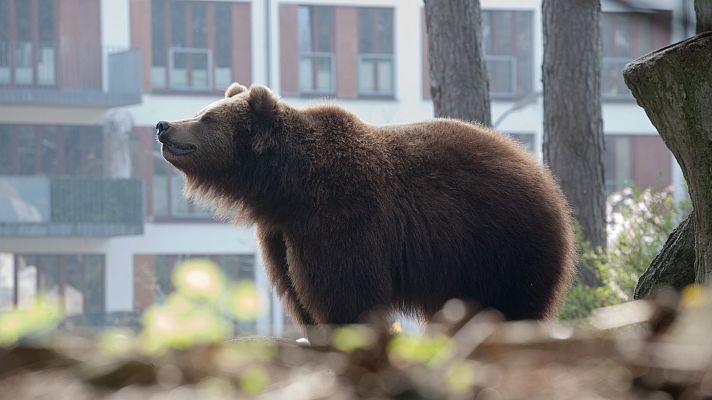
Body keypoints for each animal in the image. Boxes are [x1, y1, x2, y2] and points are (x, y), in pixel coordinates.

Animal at [156, 82, 576, 333]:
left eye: (207, 117)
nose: (164, 125)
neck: (288, 186)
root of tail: (542, 174)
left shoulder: (341, 214)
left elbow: (345, 288)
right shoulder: (281, 233)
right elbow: (297, 290)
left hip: (503, 241)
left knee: (513, 301)